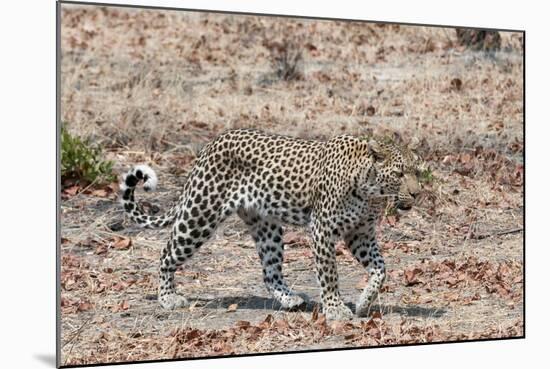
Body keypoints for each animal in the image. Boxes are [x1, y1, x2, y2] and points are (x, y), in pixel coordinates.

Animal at [122, 128, 426, 318]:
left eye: (417, 172)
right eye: (399, 173)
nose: (417, 193)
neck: (370, 190)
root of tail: (209, 146)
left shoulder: (360, 234)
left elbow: (381, 269)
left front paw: (364, 303)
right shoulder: (322, 230)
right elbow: (329, 274)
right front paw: (335, 309)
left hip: (266, 226)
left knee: (270, 272)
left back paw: (290, 299)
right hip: (200, 214)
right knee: (166, 254)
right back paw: (167, 298)